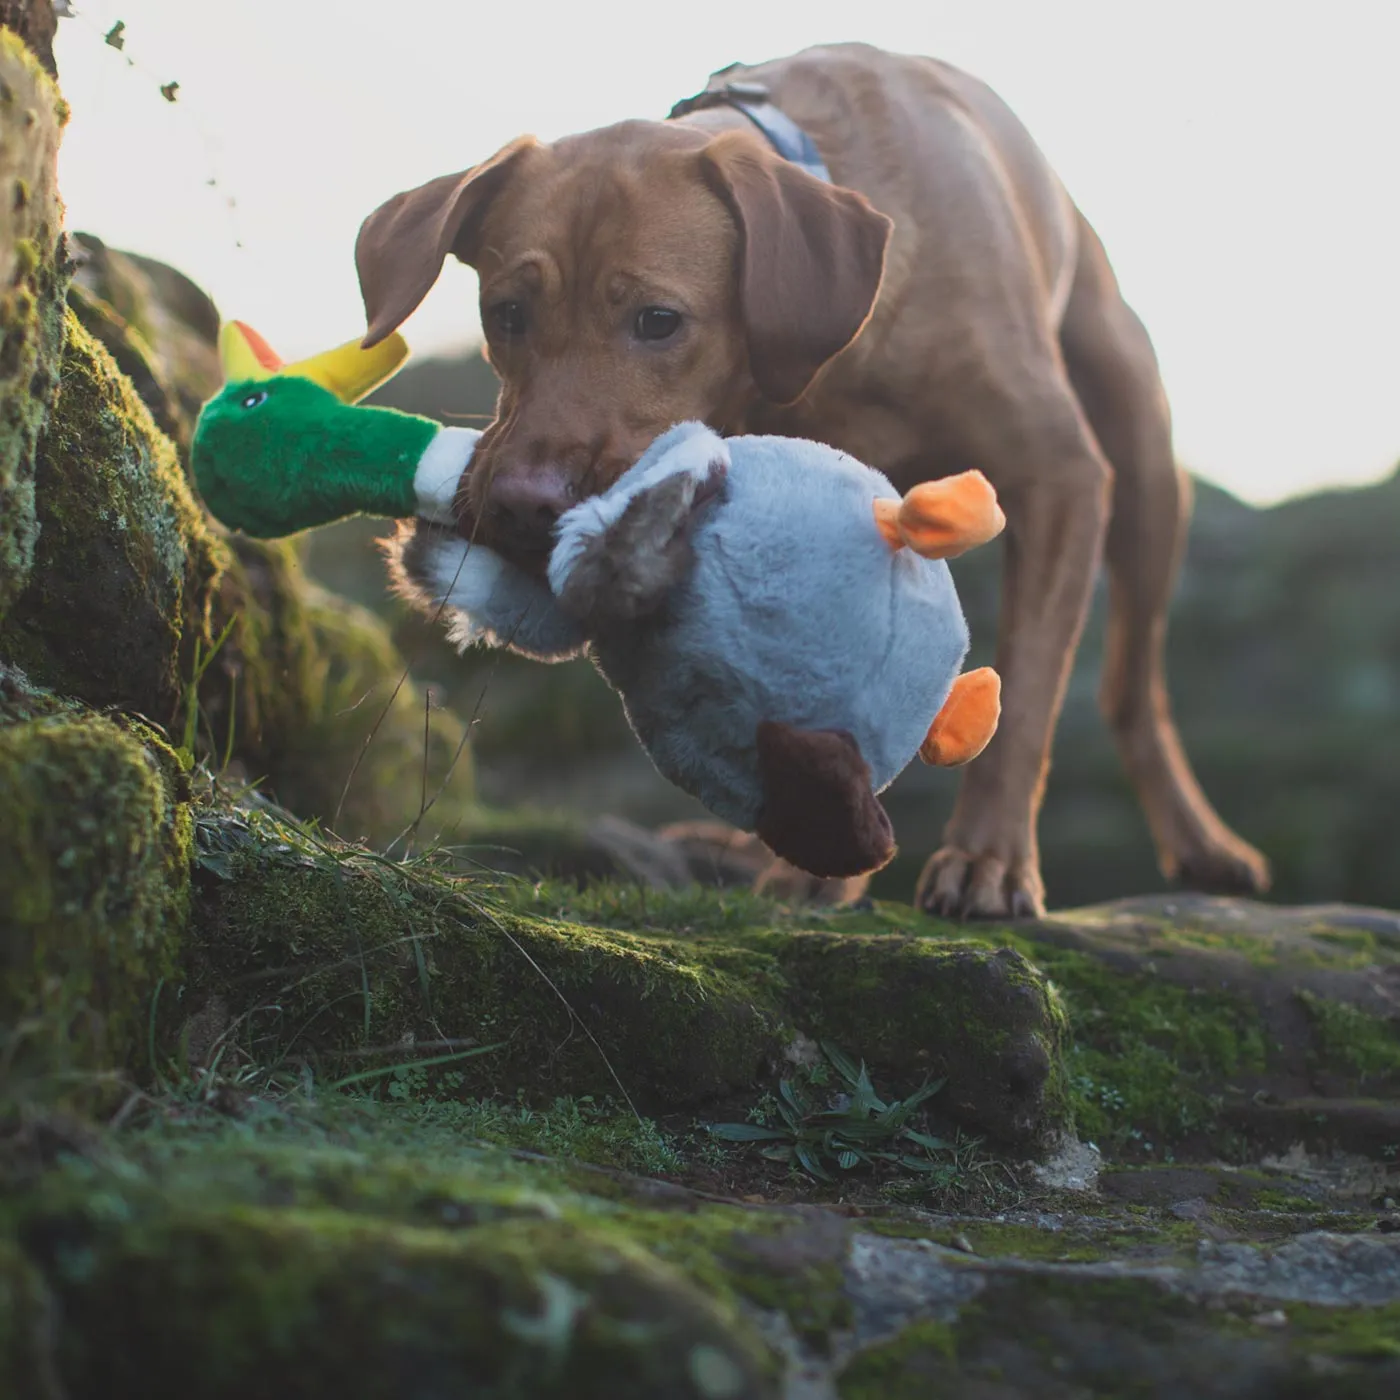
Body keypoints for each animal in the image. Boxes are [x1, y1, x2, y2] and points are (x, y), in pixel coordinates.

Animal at [352, 40, 1271, 918]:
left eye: (658, 320)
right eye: (505, 314)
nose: (522, 504)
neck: (837, 340)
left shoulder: (1060, 474)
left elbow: (1026, 703)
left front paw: (988, 859)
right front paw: (818, 867)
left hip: (1145, 465)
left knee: (1130, 688)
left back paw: (1200, 844)